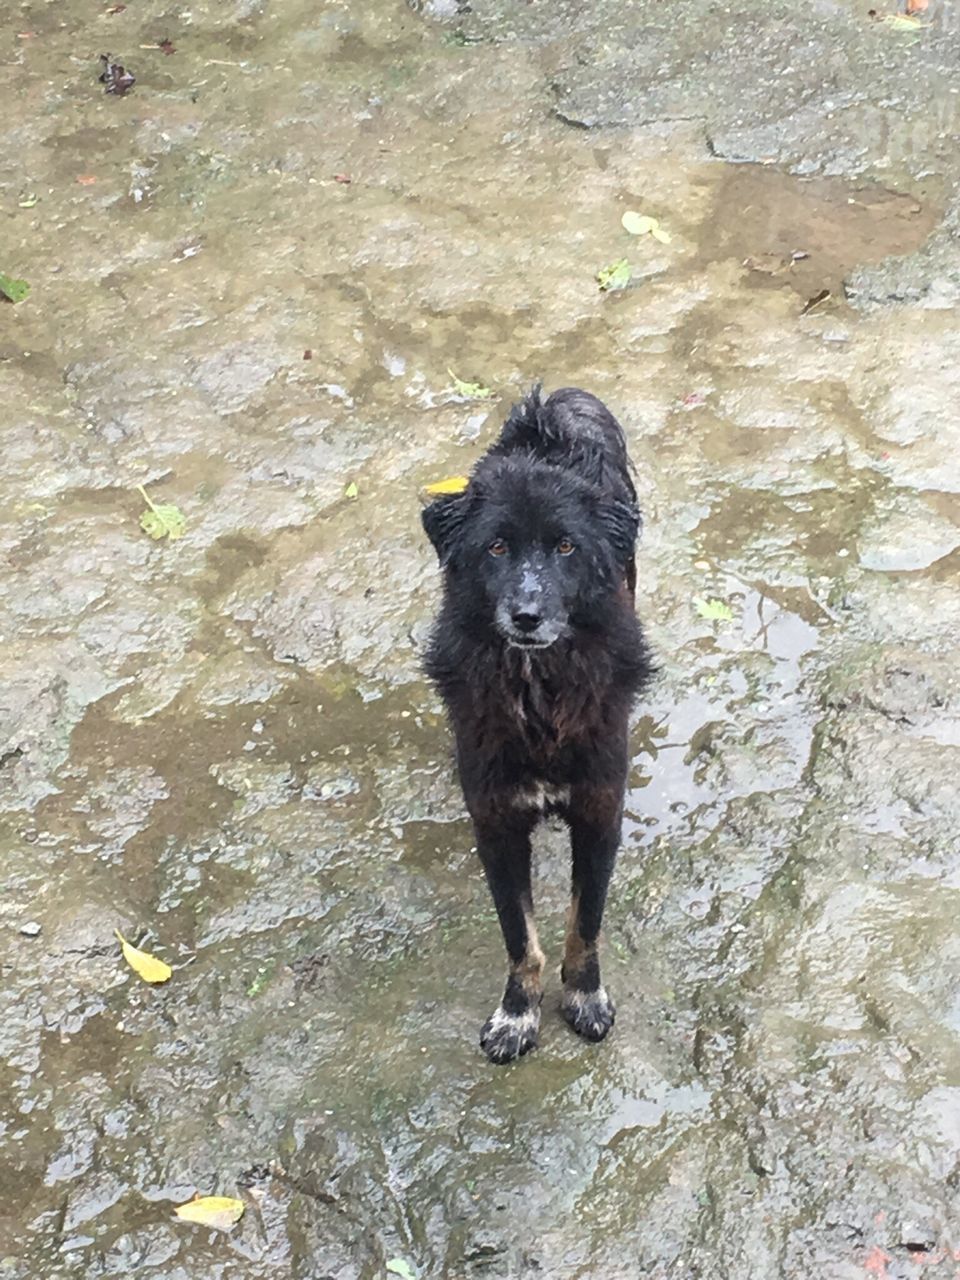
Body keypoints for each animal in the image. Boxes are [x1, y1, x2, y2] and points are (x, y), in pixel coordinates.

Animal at [419, 384, 655, 1064]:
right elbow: (519, 938)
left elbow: (585, 924)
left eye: (566, 547)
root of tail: (550, 411)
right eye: (495, 547)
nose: (526, 616)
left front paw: (584, 997)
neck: (539, 692)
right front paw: (517, 1014)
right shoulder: (496, 823)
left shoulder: (599, 812)